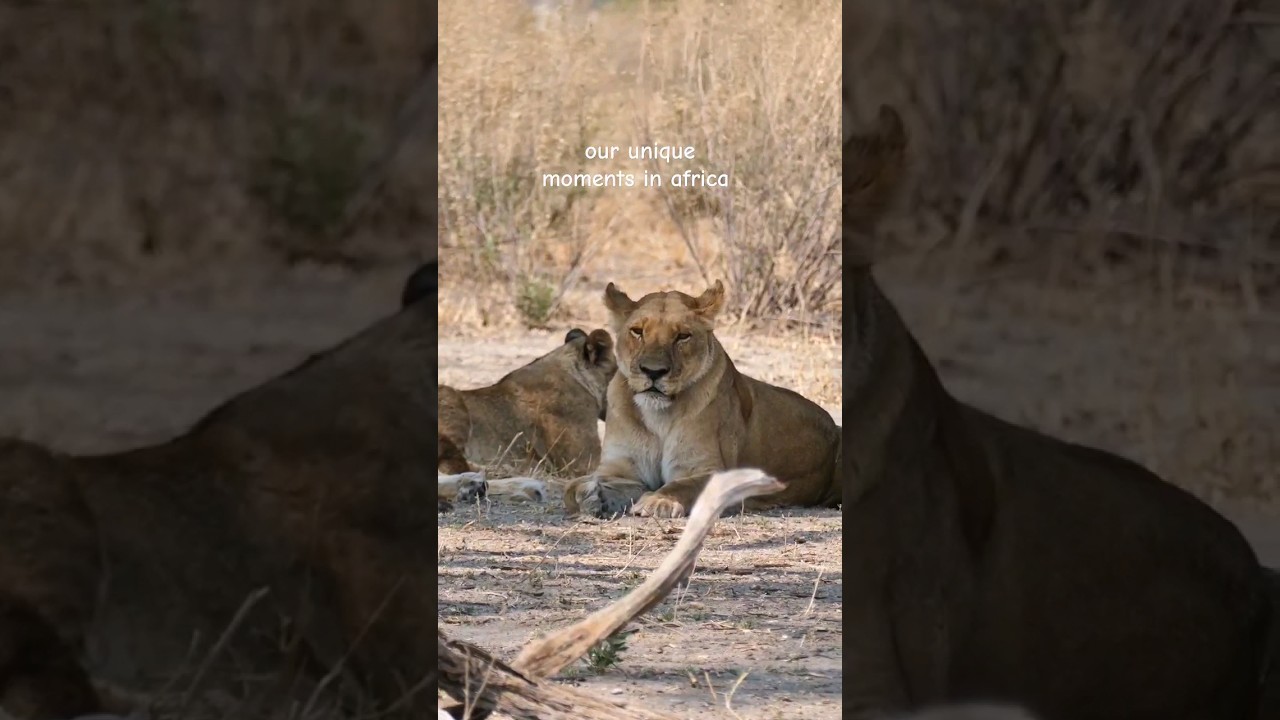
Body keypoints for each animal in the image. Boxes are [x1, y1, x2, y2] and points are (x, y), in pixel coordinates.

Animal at [563, 280, 840, 519]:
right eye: (637, 332)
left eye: (682, 336)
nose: (653, 371)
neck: (658, 415)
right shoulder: (623, 470)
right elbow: (572, 488)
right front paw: (590, 496)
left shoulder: (710, 471)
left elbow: (683, 486)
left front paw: (659, 501)